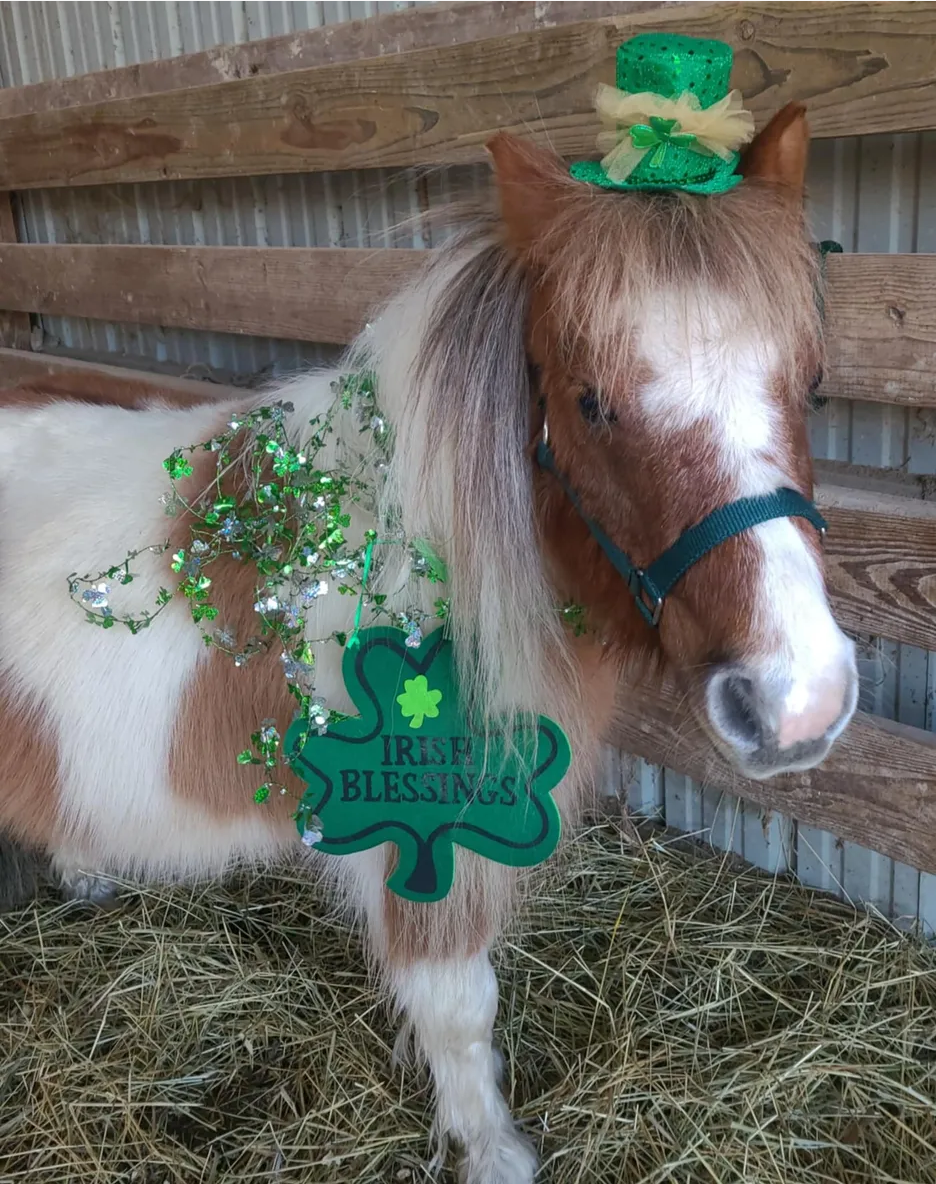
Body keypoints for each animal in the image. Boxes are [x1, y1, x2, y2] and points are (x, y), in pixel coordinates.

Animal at [0, 103, 857, 1183]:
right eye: (590, 400)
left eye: (813, 384)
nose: (800, 698)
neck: (407, 556)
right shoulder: (425, 849)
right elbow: (460, 1012)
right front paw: (494, 1150)